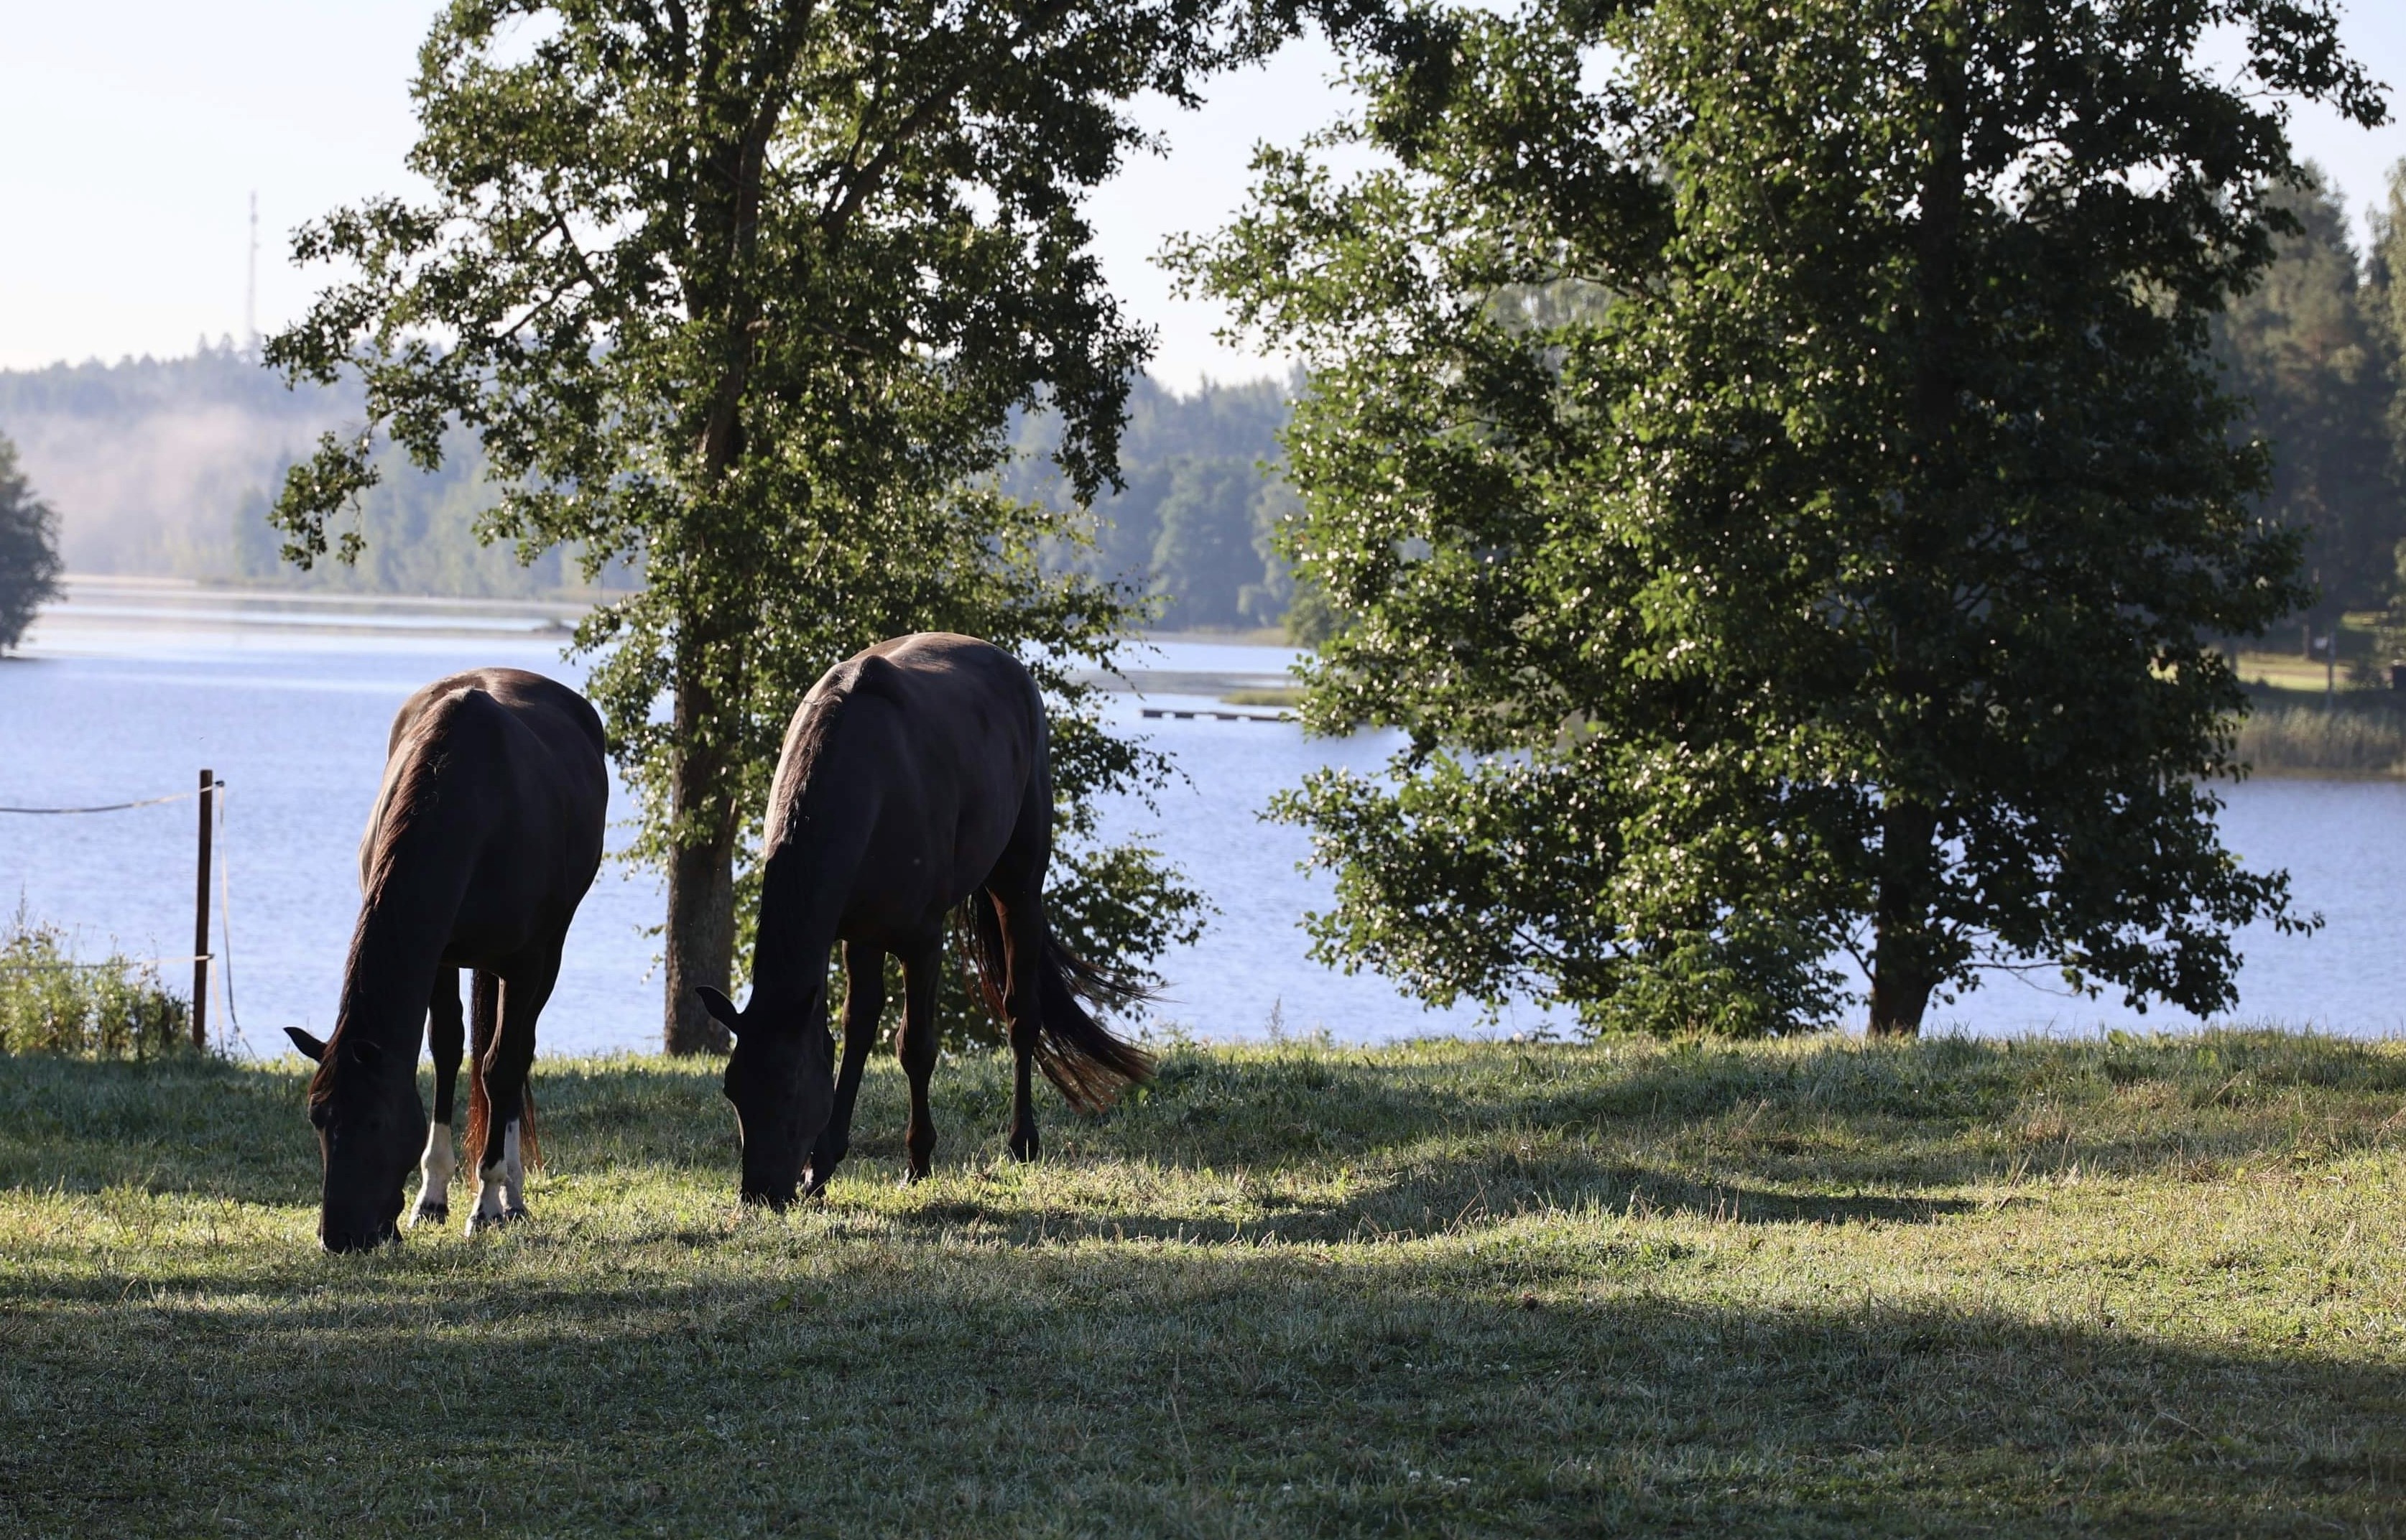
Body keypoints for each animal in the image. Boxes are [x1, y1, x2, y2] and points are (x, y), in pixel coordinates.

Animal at [284, 667, 607, 1252]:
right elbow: (447, 1051)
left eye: (375, 1122)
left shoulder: (526, 963)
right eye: (318, 1118)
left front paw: (488, 1202)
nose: (339, 1237)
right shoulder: (436, 956)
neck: (470, 800)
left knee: (514, 1057)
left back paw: (511, 1198)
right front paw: (431, 1197)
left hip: (547, 955)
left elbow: (501, 1066)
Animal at [698, 632, 1154, 1208]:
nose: (760, 1193)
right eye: (732, 1088)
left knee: (1021, 1012)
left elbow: (914, 1047)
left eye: (789, 1089)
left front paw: (917, 1161)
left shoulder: (921, 942)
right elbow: (854, 1031)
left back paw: (1022, 1141)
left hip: (1019, 885)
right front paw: (821, 1166)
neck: (865, 777)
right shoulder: (854, 934)